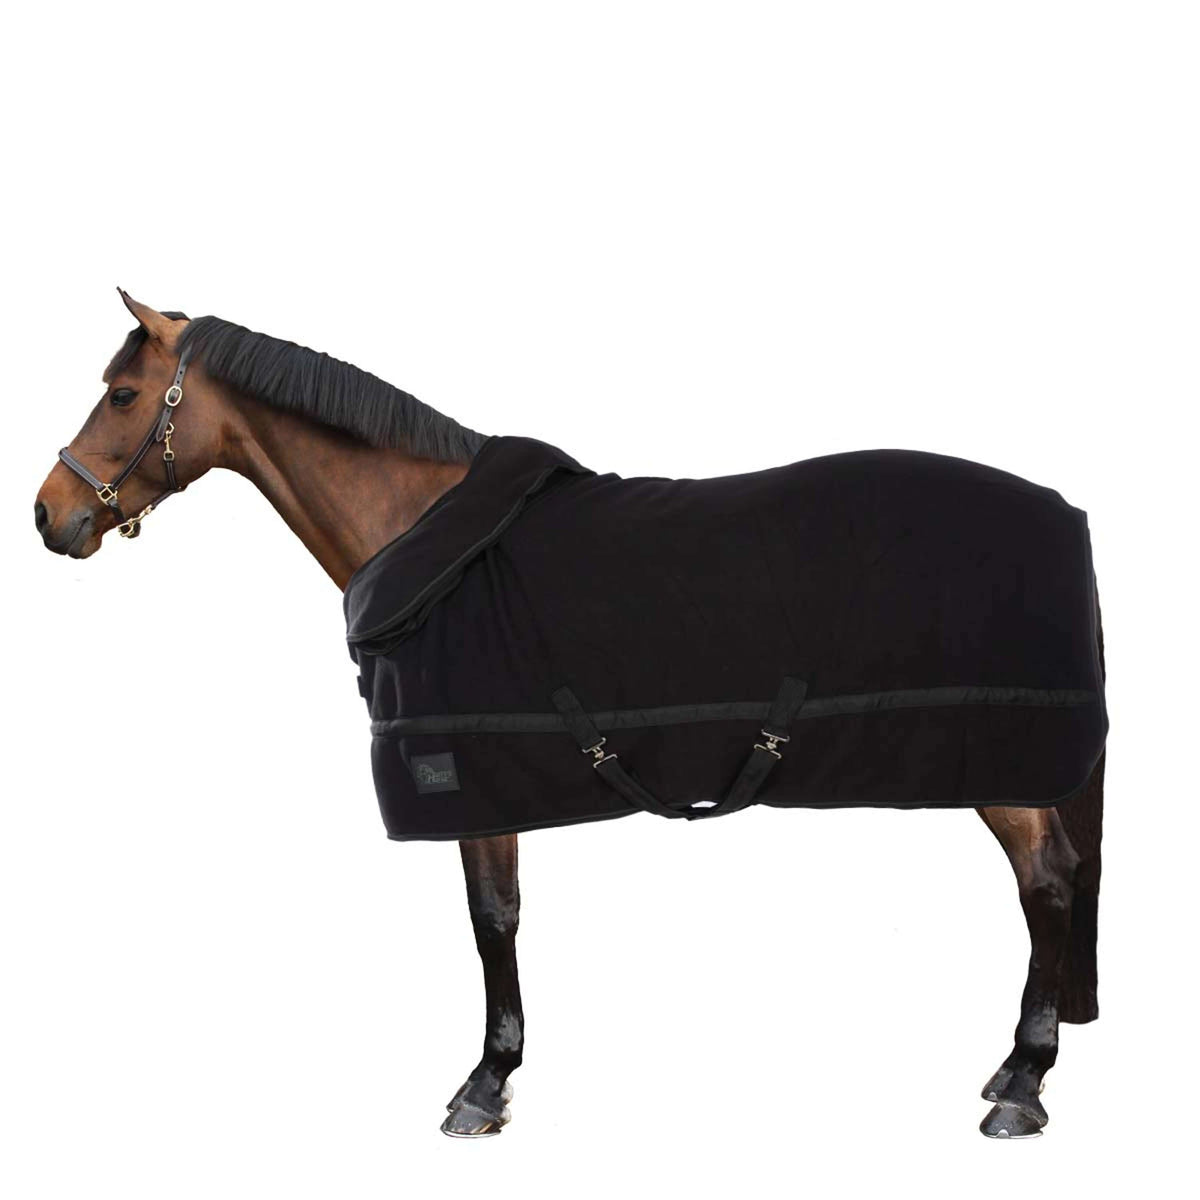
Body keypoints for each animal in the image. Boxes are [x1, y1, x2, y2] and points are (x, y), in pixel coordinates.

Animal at [34, 291, 1105, 1140]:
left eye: (123, 395)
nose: (49, 515)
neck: (427, 537)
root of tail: (1062, 510)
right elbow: (500, 915)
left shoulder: (468, 777)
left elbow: (492, 920)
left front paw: (485, 1083)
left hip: (1004, 762)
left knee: (1048, 881)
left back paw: (1023, 1084)